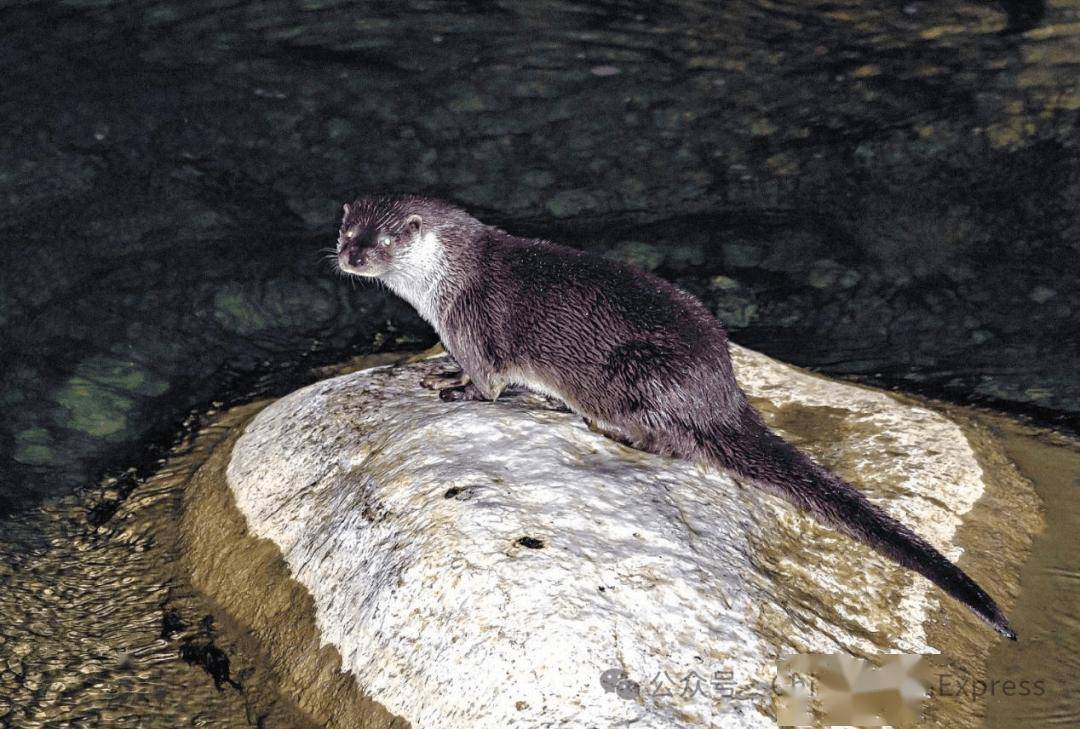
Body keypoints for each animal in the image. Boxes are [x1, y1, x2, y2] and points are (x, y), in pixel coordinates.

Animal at [332, 192, 1015, 639]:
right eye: (347, 234)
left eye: (382, 242)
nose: (349, 258)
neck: (446, 282)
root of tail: (722, 395)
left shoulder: (473, 325)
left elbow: (487, 382)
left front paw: (451, 386)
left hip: (640, 371)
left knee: (677, 443)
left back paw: (610, 427)